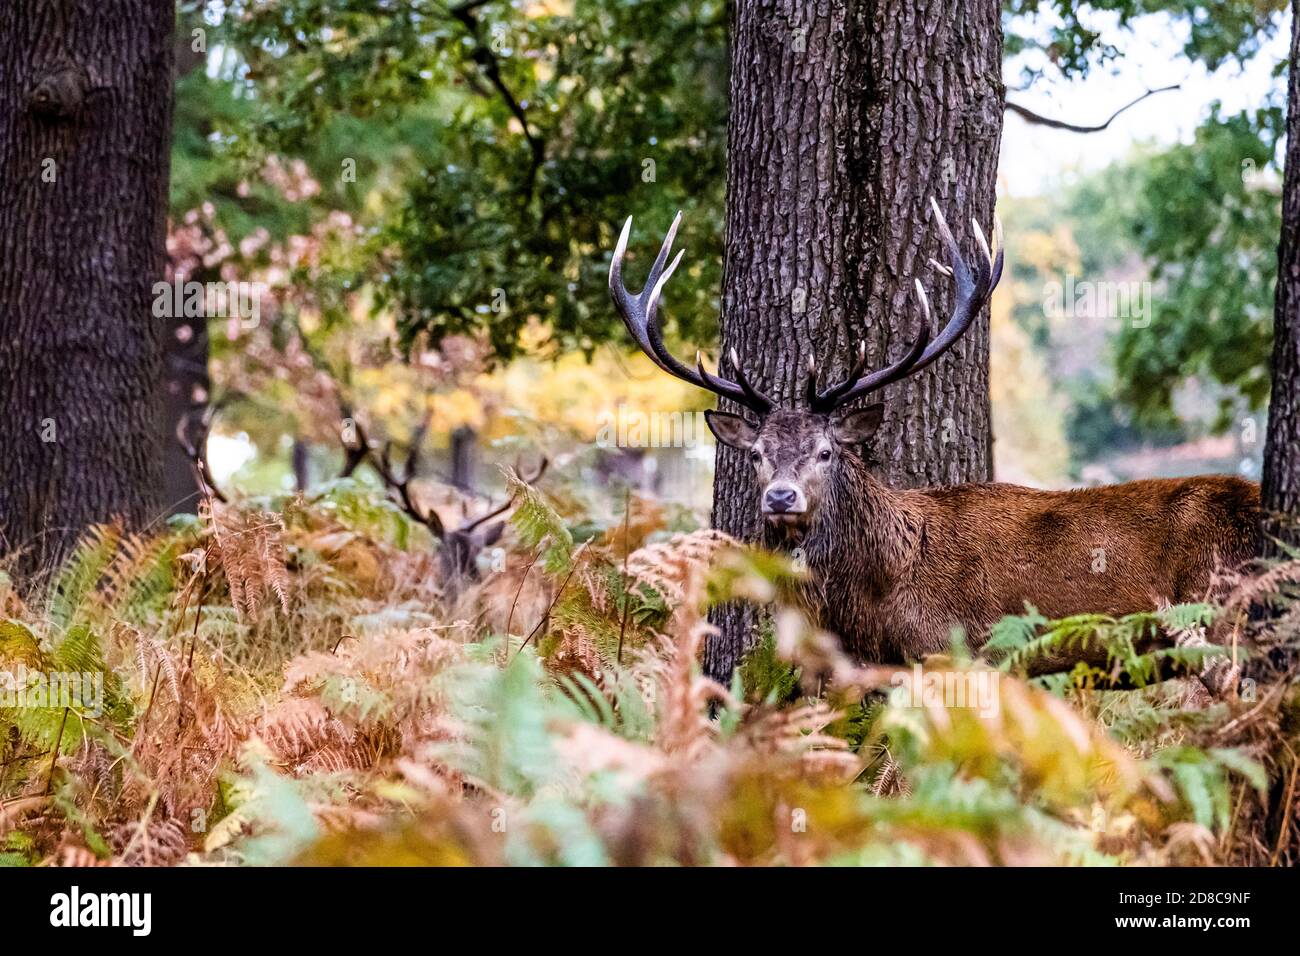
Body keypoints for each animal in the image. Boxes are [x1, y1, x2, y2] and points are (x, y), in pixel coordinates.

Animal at [608, 200, 1258, 681]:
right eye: (760, 455)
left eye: (826, 451)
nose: (781, 498)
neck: (882, 599)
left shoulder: (973, 653)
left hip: (1221, 625)